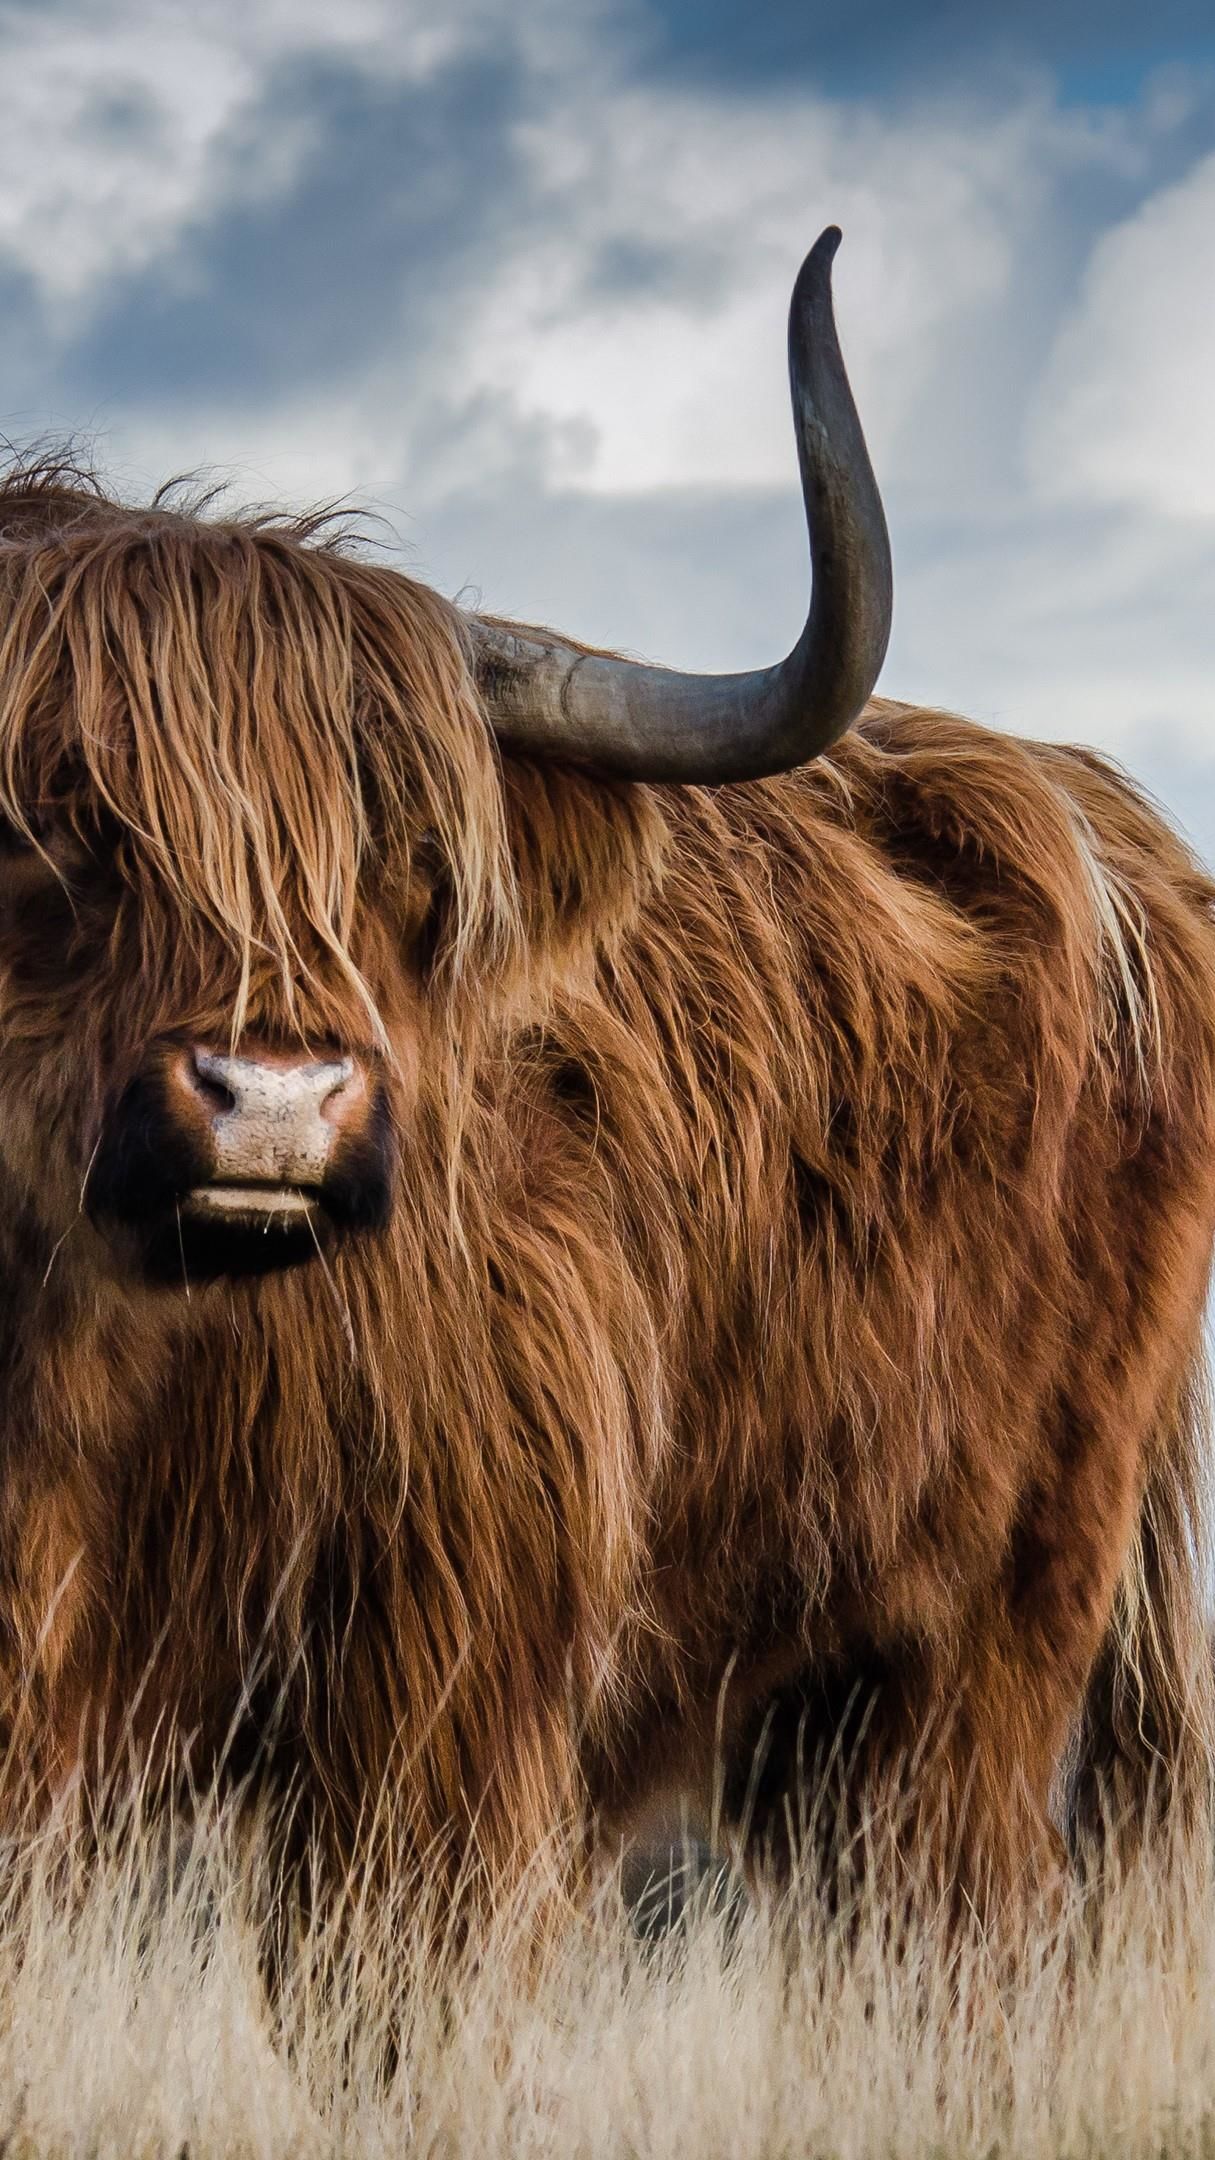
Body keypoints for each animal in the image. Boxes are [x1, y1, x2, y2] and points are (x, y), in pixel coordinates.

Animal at [0, 228, 1213, 1928]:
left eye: (406, 856)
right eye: (53, 822)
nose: (276, 1101)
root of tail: (1111, 823)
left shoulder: (442, 1701)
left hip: (981, 1637)